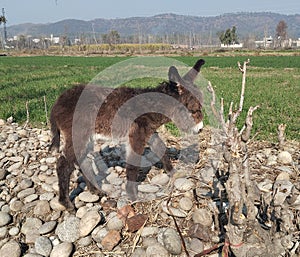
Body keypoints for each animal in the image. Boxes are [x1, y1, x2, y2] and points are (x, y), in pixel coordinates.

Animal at [49, 58, 205, 208]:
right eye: (194, 110)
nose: (200, 129)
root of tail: (57, 103)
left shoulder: (148, 132)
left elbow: (161, 149)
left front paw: (173, 173)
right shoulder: (137, 135)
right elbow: (133, 165)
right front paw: (133, 196)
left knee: (81, 161)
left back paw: (95, 190)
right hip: (79, 134)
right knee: (63, 164)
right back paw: (66, 203)